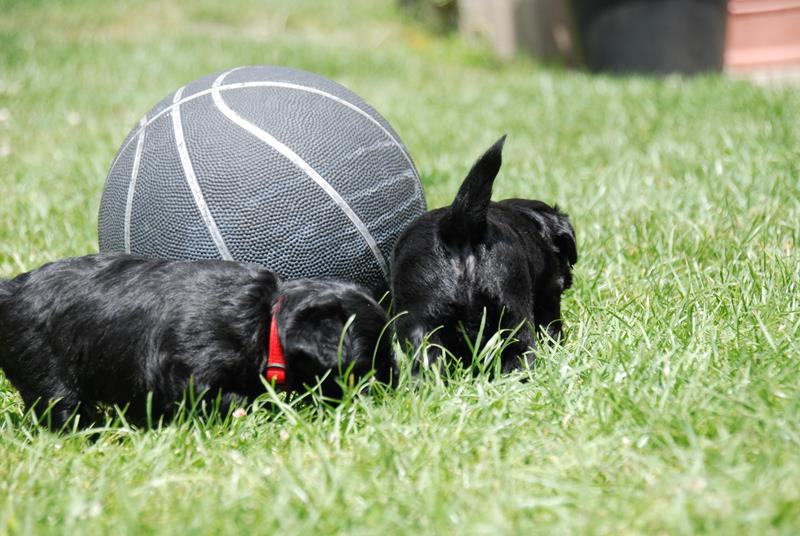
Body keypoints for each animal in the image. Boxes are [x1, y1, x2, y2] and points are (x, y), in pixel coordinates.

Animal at [0, 254, 393, 429]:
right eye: (366, 366)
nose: (393, 388)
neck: (266, 318)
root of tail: (11, 289)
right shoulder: (190, 369)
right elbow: (229, 398)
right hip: (48, 373)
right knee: (61, 407)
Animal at [391, 136, 577, 372]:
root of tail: (457, 226)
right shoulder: (549, 291)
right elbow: (550, 322)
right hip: (511, 311)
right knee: (519, 353)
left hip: (421, 319)